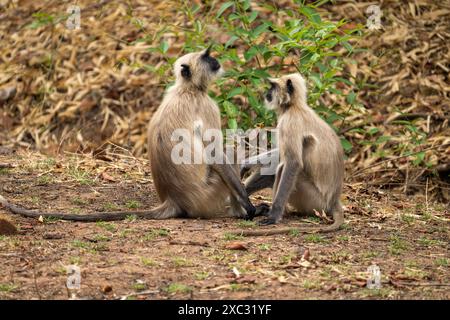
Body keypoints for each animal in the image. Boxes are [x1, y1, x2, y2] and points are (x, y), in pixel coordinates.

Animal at [0, 47, 255, 221]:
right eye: (206, 57)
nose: (216, 60)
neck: (187, 89)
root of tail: (174, 199)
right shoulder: (207, 105)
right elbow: (217, 153)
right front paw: (249, 205)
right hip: (207, 195)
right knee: (230, 153)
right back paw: (239, 212)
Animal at [232, 74, 344, 236]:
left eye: (272, 87)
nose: (267, 93)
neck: (294, 106)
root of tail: (334, 200)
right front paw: (245, 165)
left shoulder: (290, 121)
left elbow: (293, 162)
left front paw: (273, 216)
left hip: (312, 201)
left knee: (284, 167)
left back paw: (276, 213)